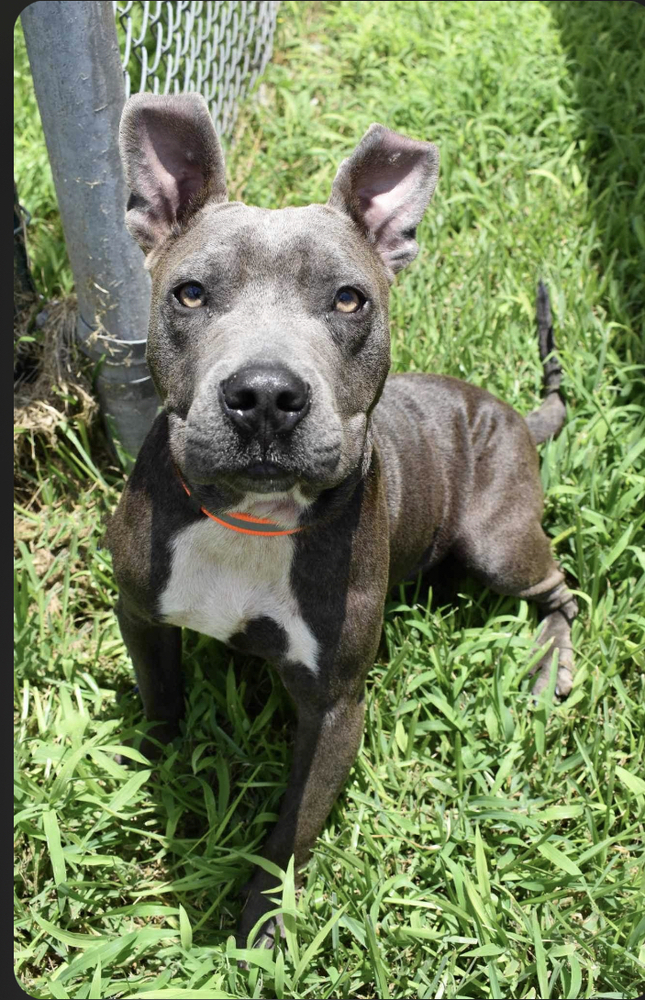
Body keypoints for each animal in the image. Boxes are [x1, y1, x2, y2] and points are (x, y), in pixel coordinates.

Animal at [107, 94, 580, 944]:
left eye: (348, 298)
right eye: (189, 293)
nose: (264, 394)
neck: (250, 517)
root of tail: (518, 420)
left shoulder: (334, 707)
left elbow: (291, 826)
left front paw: (258, 931)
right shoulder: (139, 609)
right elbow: (161, 699)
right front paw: (152, 767)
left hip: (498, 540)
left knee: (561, 590)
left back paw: (545, 667)